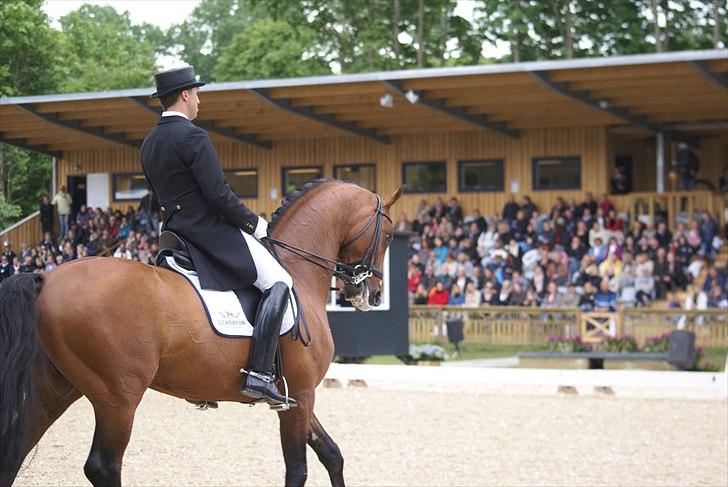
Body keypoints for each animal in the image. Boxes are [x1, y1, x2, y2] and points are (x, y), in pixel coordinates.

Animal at [0, 180, 404, 487]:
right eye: (389, 234)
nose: (372, 295)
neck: (299, 273)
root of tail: (47, 275)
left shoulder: (294, 397)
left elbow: (331, 455)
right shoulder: (301, 394)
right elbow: (298, 470)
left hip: (54, 388)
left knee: (14, 451)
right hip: (118, 397)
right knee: (102, 466)